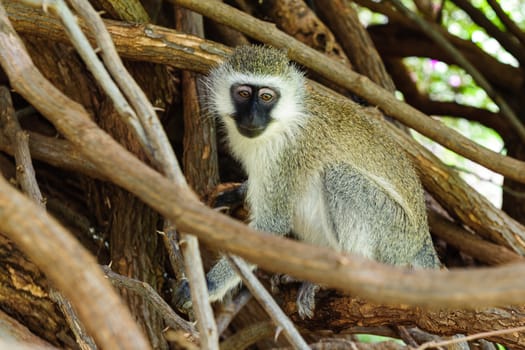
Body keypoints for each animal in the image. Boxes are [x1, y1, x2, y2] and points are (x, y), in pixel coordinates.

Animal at [175, 45, 438, 318]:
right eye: (243, 93)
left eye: (266, 97)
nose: (252, 118)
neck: (282, 122)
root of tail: (421, 241)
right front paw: (238, 192)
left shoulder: (288, 154)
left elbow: (272, 225)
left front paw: (207, 286)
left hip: (393, 237)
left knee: (337, 175)